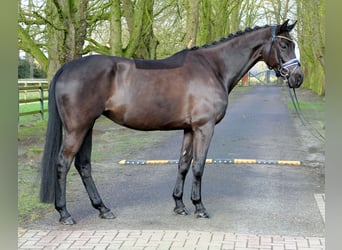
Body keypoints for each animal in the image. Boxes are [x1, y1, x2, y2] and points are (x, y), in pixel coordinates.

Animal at [39, 19, 302, 223]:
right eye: (284, 44)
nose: (298, 78)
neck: (213, 68)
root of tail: (66, 69)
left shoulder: (189, 129)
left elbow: (183, 164)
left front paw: (179, 205)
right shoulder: (204, 128)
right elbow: (198, 166)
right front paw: (199, 207)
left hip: (88, 126)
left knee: (83, 165)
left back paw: (103, 209)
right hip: (77, 128)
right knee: (63, 163)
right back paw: (65, 214)